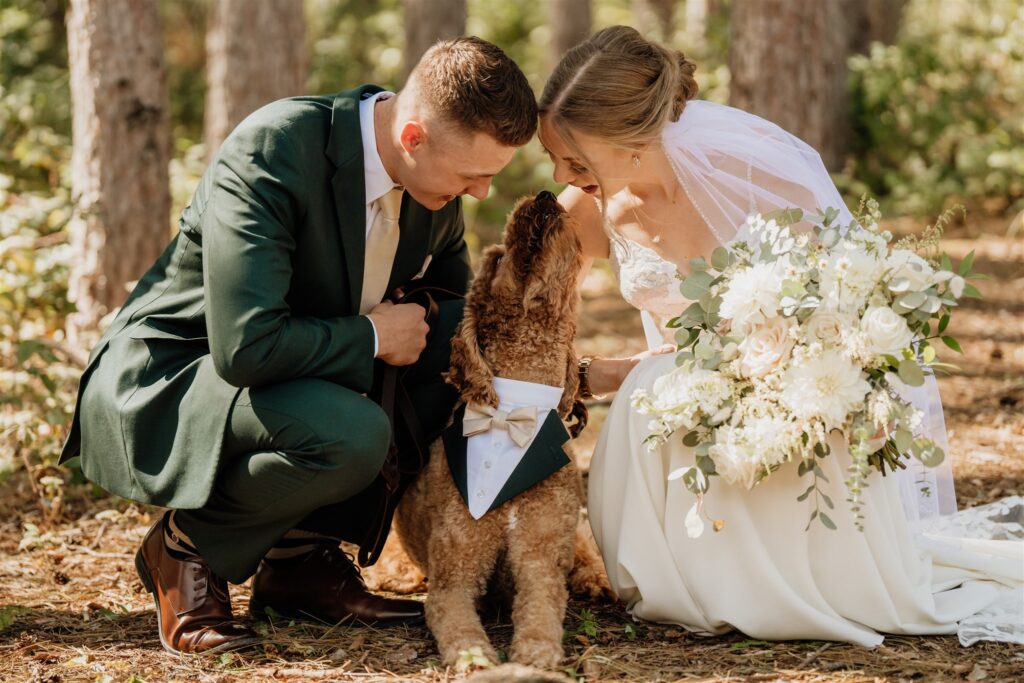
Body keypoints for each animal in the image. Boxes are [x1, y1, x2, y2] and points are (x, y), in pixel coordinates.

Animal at [397, 191, 598, 667]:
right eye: (499, 256)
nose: (544, 195)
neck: (515, 409)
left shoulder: (540, 561)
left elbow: (541, 612)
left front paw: (536, 654)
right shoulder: (454, 576)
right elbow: (459, 623)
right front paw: (474, 657)